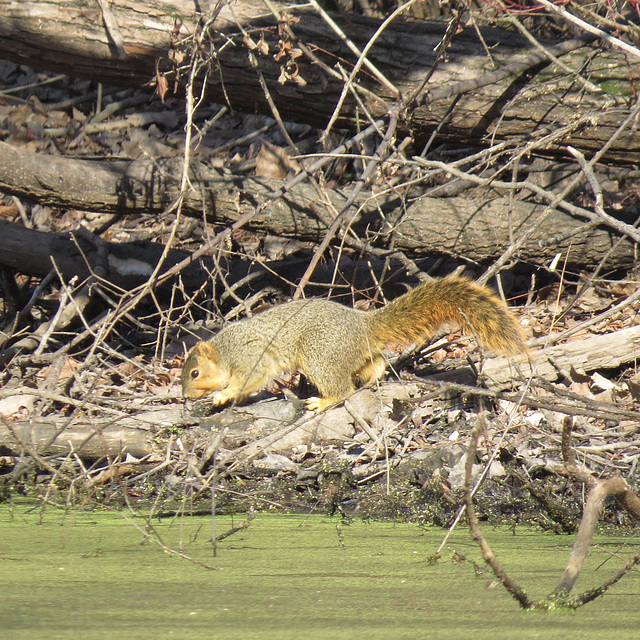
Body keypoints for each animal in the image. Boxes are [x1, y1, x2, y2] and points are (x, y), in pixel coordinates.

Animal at [180, 274, 524, 412]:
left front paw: (224, 394)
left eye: (195, 373)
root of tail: (362, 324)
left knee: (342, 389)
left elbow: (251, 379)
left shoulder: (251, 357)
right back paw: (374, 375)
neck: (226, 352)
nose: (184, 396)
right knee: (374, 362)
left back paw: (321, 402)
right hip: (351, 354)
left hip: (319, 355)